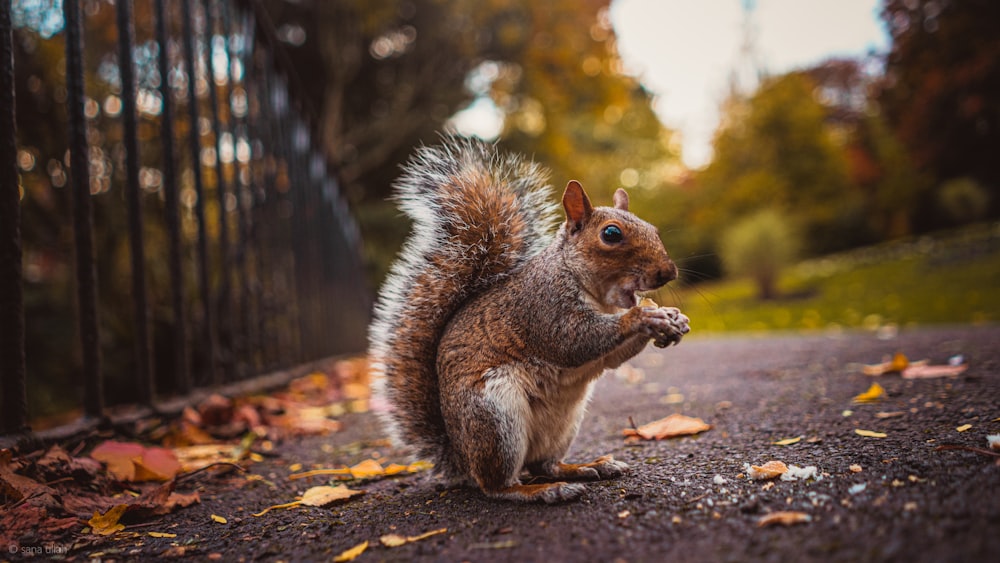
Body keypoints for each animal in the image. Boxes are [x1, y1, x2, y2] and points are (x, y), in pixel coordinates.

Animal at [368, 138, 688, 506]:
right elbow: (575, 341)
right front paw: (646, 315)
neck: (599, 296)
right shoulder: (543, 308)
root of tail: (460, 458)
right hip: (496, 418)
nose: (668, 272)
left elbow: (610, 357)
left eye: (653, 229)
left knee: (544, 464)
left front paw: (673, 319)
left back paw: (586, 467)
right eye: (611, 234)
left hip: (563, 424)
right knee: (499, 485)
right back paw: (543, 490)